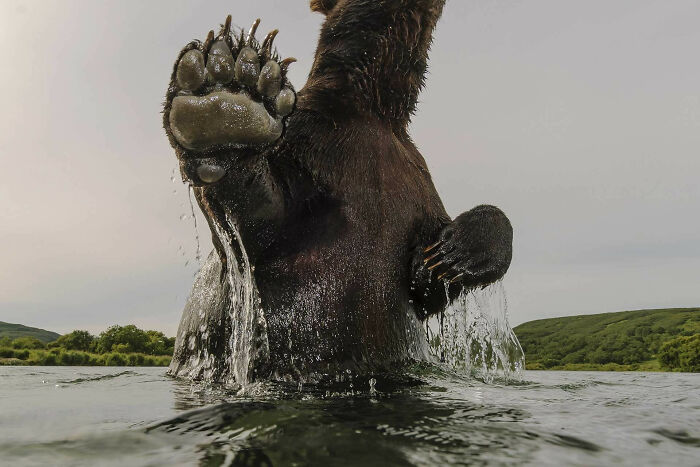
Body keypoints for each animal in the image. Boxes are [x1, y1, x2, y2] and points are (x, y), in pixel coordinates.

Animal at [163, 0, 513, 384]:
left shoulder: (415, 182)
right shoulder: (308, 138)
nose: (449, 254)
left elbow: (425, 286)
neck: (375, 106)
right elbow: (254, 227)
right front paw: (229, 100)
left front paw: (451, 255)